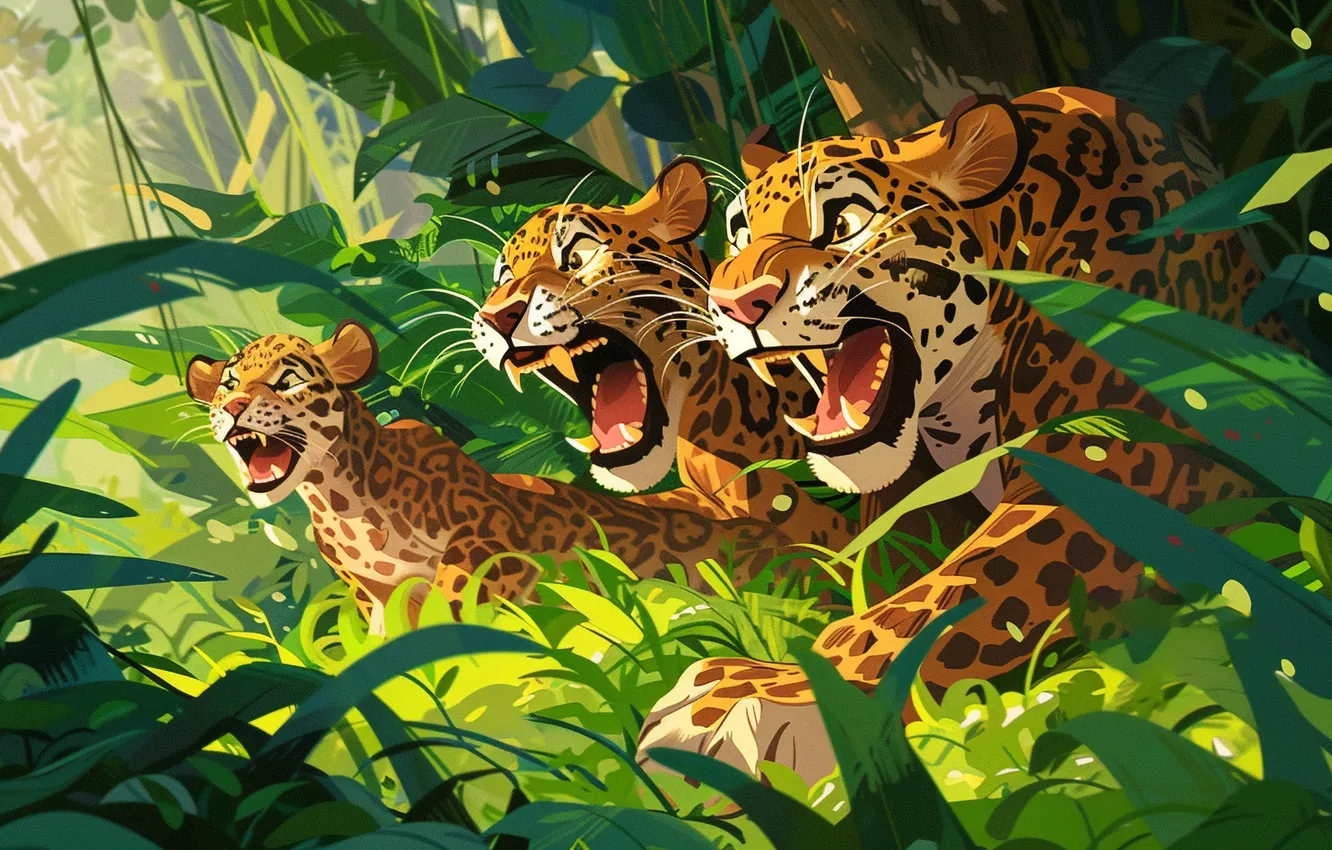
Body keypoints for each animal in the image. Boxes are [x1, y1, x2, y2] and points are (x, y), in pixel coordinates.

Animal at [185, 320, 794, 635]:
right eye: (230, 383)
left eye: (287, 380)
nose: (233, 407)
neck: (340, 501)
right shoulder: (375, 596)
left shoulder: (491, 535)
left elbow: (455, 603)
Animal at [636, 86, 1300, 787]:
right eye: (738, 232)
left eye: (843, 221)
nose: (734, 303)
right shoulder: (904, 515)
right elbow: (886, 588)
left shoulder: (1111, 457)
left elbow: (950, 593)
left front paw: (753, 700)